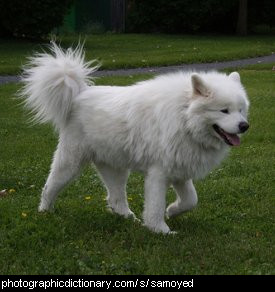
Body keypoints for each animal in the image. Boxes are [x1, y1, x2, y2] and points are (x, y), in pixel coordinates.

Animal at [20, 44, 250, 235]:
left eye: (240, 110)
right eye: (224, 110)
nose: (244, 126)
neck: (184, 117)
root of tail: (79, 94)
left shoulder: (180, 171)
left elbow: (191, 200)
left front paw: (172, 211)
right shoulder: (159, 173)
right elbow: (155, 206)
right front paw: (161, 230)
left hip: (116, 168)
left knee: (115, 198)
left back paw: (129, 218)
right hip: (70, 162)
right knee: (50, 186)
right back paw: (45, 211)